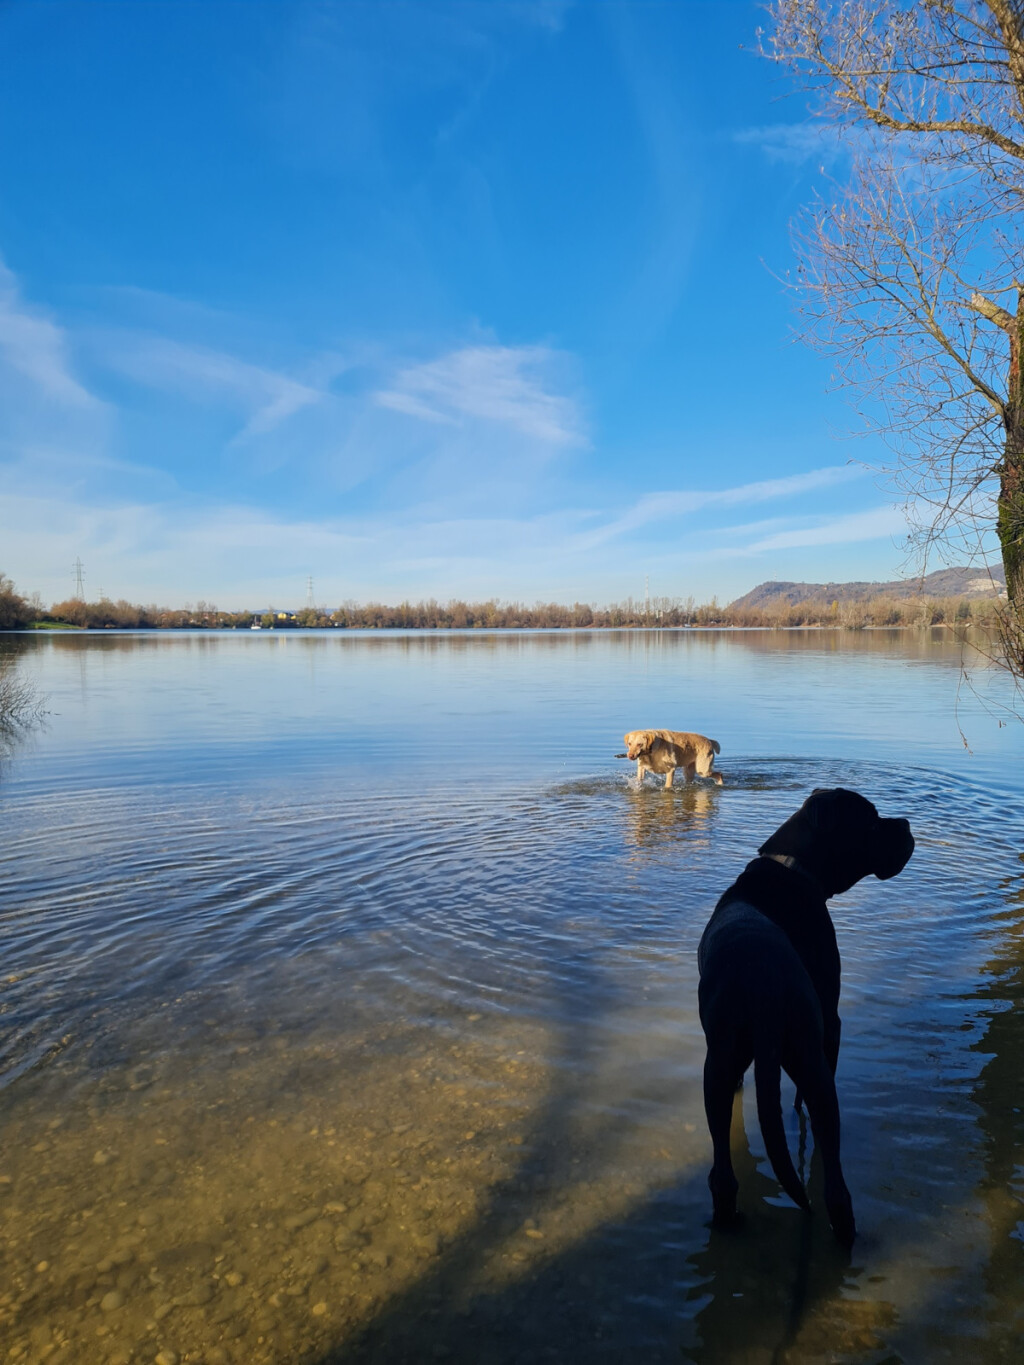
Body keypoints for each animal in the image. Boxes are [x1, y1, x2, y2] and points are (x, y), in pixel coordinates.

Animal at [699, 791, 912, 1250]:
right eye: (871, 822)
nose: (905, 824)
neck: (791, 865)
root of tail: (762, 982)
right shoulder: (830, 1024)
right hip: (812, 1062)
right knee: (835, 1187)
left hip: (716, 1068)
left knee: (723, 1175)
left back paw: (727, 1220)